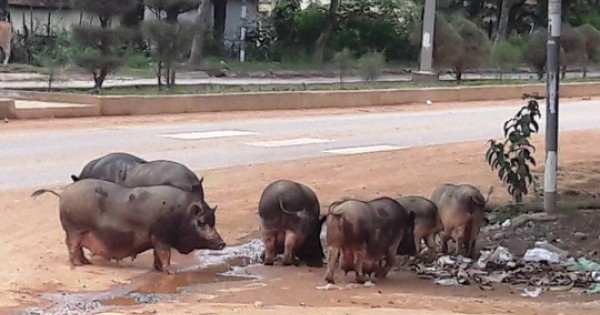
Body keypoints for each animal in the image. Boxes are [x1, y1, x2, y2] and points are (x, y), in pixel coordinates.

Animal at [29, 180, 225, 274]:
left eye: (213, 221)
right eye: (201, 222)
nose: (222, 243)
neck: (182, 215)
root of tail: (62, 194)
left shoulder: (156, 238)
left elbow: (157, 254)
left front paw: (158, 269)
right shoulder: (161, 237)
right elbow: (165, 254)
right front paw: (171, 273)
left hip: (77, 231)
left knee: (78, 249)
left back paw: (86, 263)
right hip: (74, 229)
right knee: (72, 247)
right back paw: (78, 265)